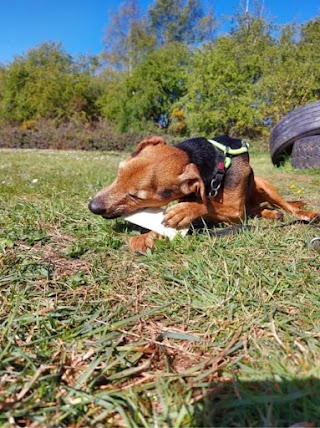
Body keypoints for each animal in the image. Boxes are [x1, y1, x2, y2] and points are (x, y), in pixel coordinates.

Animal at [88, 135, 320, 252]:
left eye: (137, 196)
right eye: (118, 173)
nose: (92, 206)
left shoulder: (235, 211)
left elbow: (207, 204)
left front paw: (182, 212)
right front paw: (149, 237)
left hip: (265, 185)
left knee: (285, 205)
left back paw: (305, 214)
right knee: (257, 210)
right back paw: (271, 214)